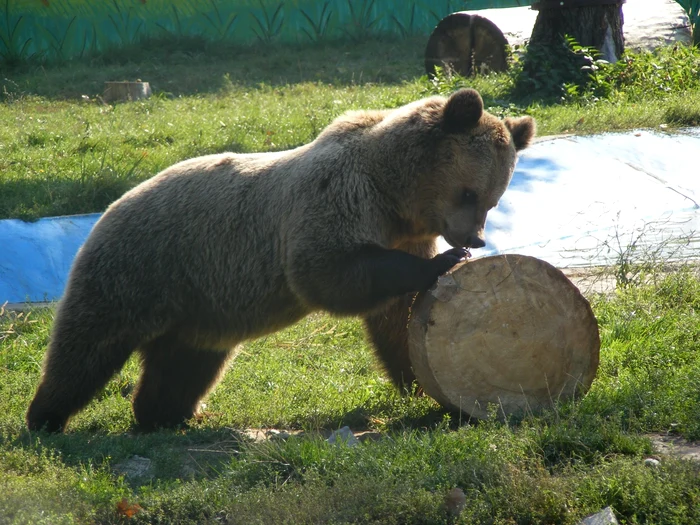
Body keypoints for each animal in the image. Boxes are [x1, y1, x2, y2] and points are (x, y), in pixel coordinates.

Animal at [24, 89, 532, 430]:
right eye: (469, 193)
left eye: (493, 199)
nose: (474, 238)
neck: (394, 195)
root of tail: (111, 205)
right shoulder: (335, 199)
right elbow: (327, 272)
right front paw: (445, 261)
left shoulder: (403, 231)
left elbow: (395, 319)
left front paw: (417, 383)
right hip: (144, 266)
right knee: (89, 345)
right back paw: (46, 416)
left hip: (199, 306)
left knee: (185, 364)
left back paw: (169, 415)